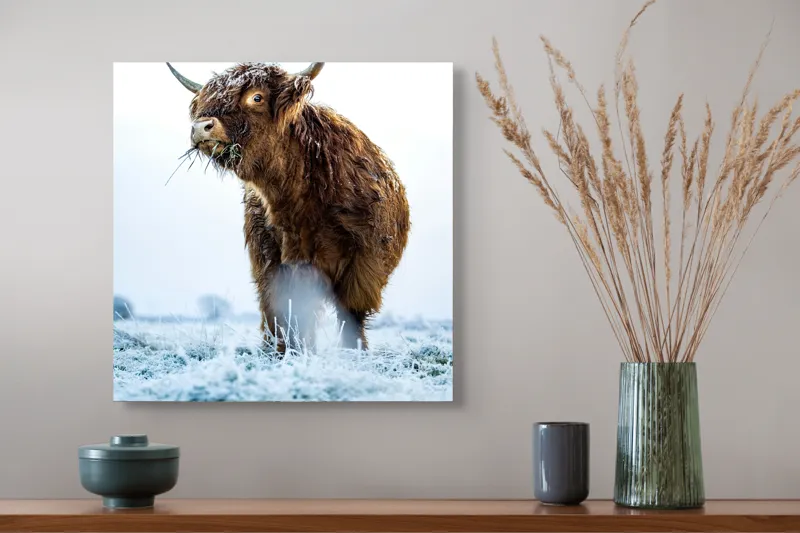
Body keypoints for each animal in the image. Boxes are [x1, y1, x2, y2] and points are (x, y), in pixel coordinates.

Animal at [166, 62, 411, 353]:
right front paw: (282, 352)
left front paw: (353, 353)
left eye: (256, 98)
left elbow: (350, 313)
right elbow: (281, 310)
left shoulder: (364, 263)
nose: (202, 127)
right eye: (204, 101)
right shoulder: (271, 258)